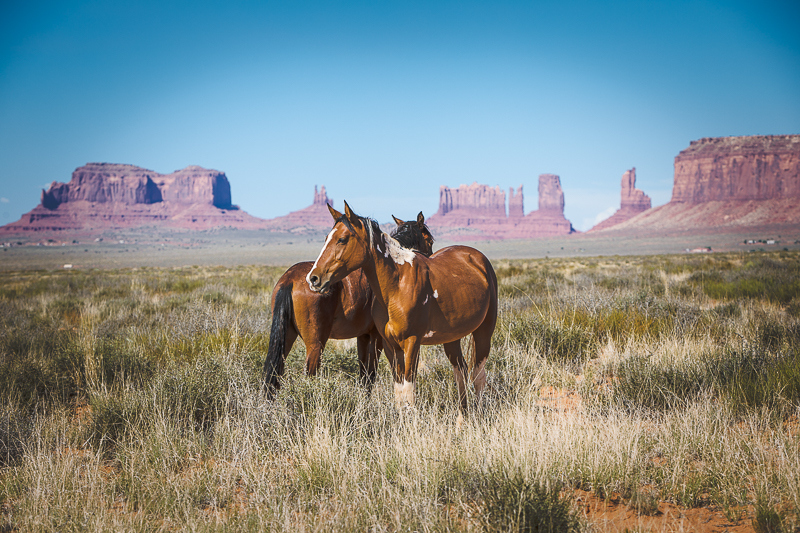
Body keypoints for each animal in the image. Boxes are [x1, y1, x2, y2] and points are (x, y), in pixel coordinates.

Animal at [262, 212, 434, 397]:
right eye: (430, 241)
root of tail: (290, 280)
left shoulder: (363, 336)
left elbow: (364, 375)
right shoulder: (377, 338)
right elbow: (370, 374)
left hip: (286, 337)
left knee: (274, 375)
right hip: (315, 345)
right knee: (309, 375)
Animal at [307, 201, 498, 411]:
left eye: (342, 239)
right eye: (326, 238)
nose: (313, 278)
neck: (396, 285)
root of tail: (477, 258)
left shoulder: (412, 342)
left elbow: (409, 391)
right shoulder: (390, 346)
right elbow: (399, 394)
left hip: (484, 332)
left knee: (478, 375)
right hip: (452, 338)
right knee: (461, 371)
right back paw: (462, 416)